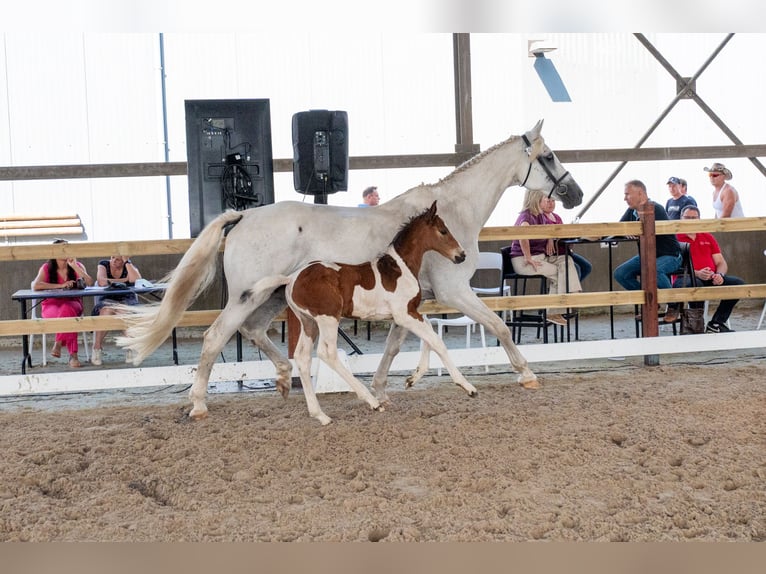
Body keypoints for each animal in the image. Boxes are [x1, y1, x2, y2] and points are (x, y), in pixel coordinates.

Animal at [254, 200, 471, 425]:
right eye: (443, 231)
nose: (461, 255)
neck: (400, 268)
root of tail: (291, 278)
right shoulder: (404, 314)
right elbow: (437, 342)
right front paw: (467, 387)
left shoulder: (409, 314)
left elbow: (429, 337)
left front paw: (412, 379)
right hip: (328, 319)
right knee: (327, 353)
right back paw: (372, 402)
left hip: (308, 322)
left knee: (302, 358)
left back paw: (321, 415)